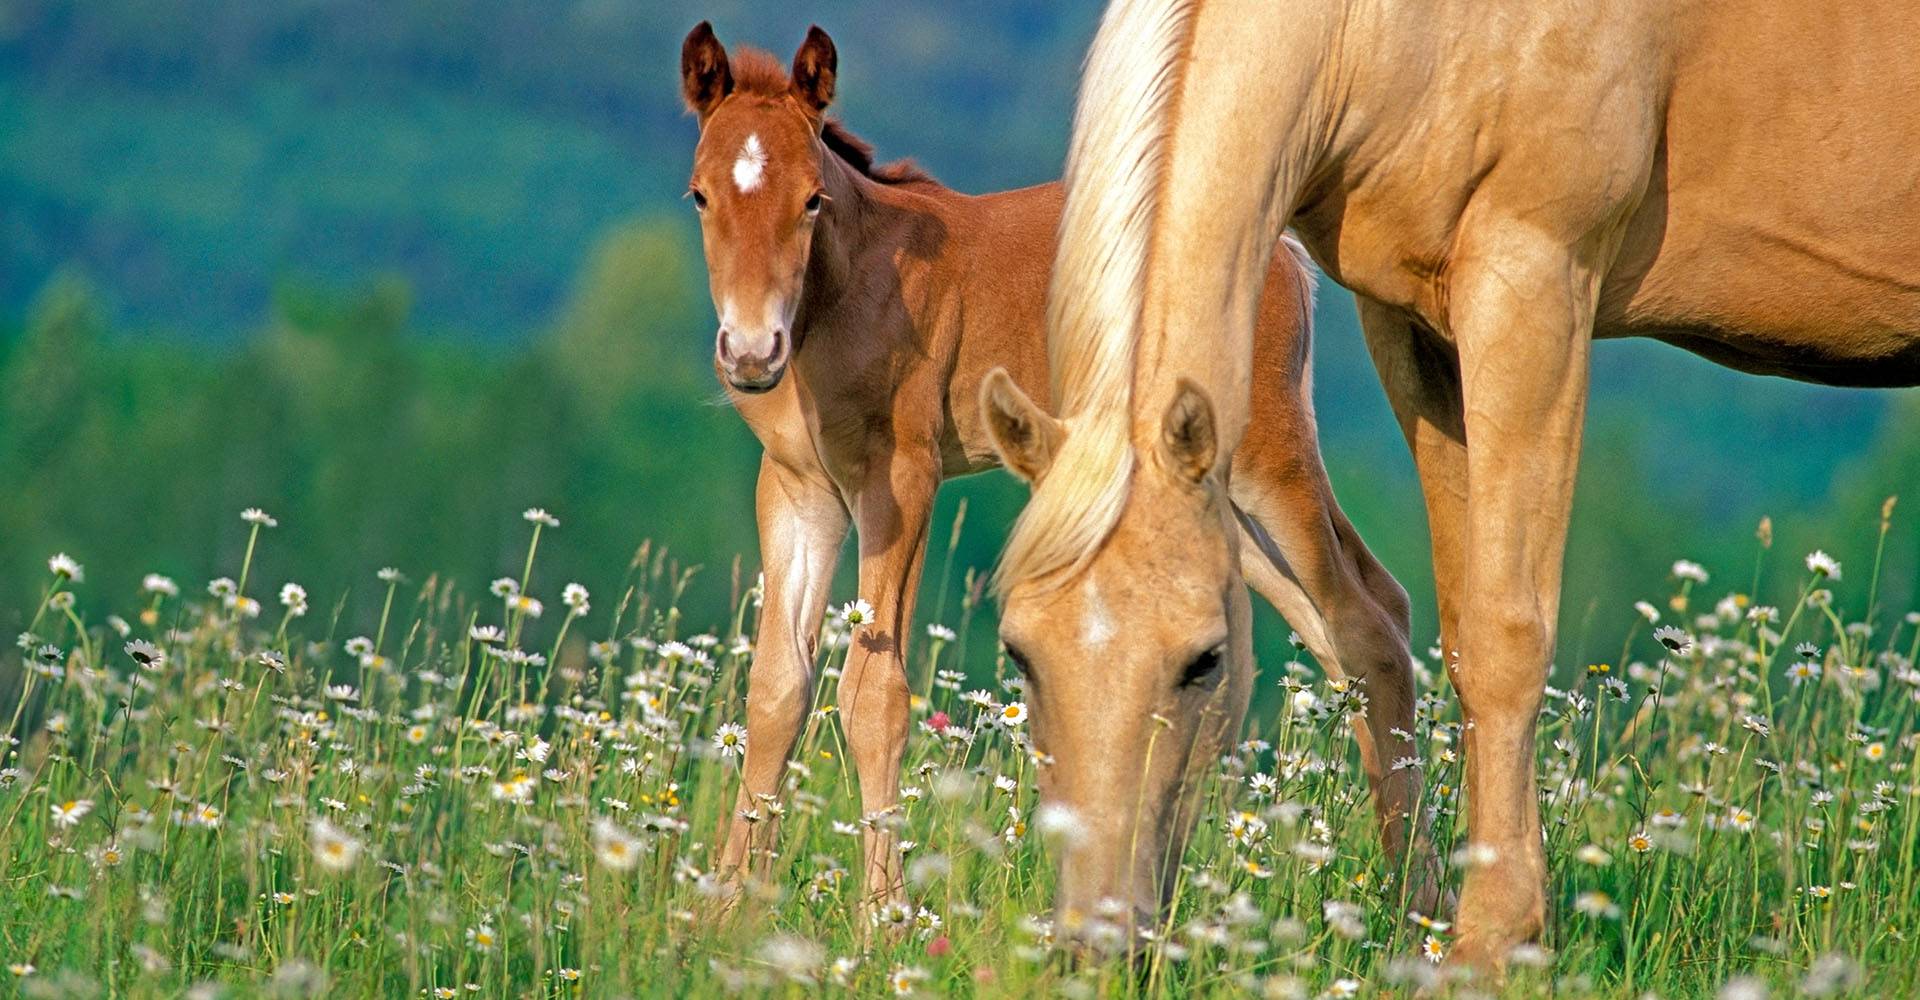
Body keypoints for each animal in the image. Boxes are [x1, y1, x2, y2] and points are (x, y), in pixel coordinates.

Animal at [678, 22, 1436, 919]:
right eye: (700, 195)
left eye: (811, 200)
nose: (750, 352)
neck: (841, 295)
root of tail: (1283, 252)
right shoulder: (798, 487)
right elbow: (775, 690)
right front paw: (723, 911)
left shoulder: (901, 477)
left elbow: (874, 692)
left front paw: (884, 919)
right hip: (1201, 496)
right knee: (1341, 625)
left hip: (1266, 461)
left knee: (1368, 621)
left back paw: (1415, 899)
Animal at [984, 0, 1920, 975]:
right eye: (1019, 653)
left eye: (1204, 659)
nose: (1095, 945)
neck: (1392, 29)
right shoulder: (1415, 330)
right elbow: (1458, 629)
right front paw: (1438, 924)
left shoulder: (1532, 287)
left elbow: (1508, 636)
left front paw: (1491, 939)